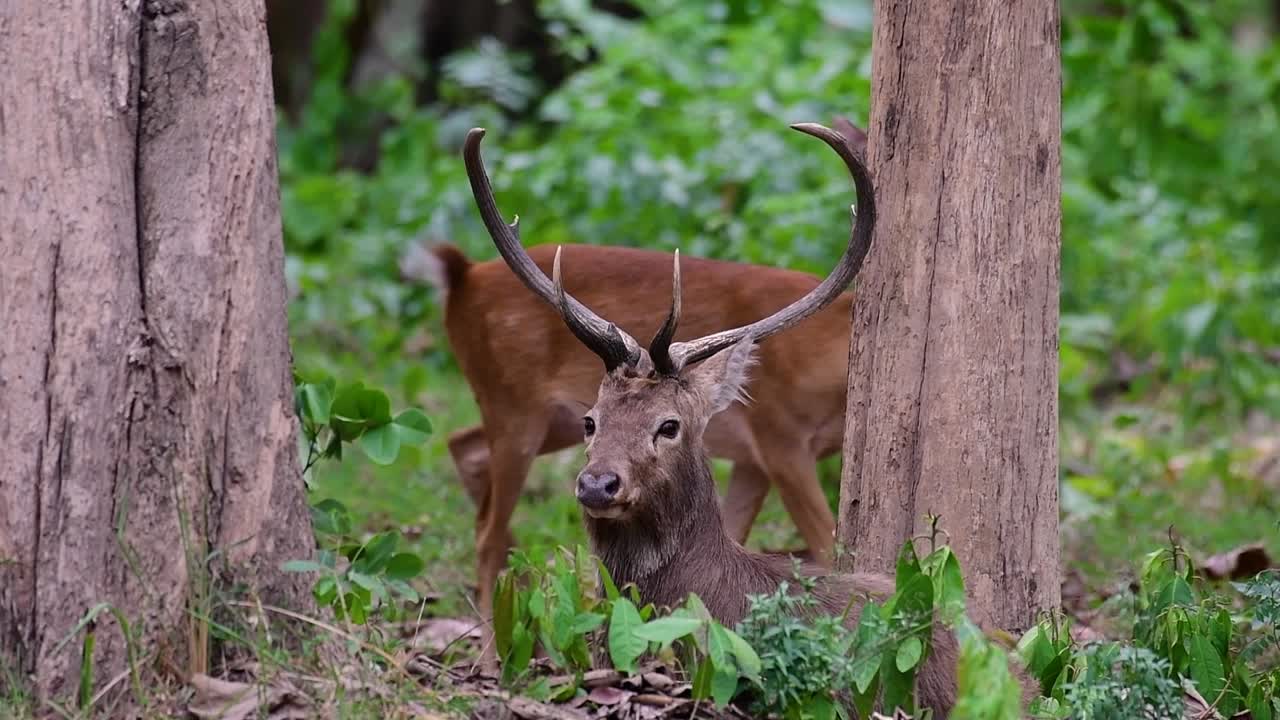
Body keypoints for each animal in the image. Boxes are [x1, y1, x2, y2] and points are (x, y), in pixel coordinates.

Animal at [401, 120, 871, 619]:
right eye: (593, 421)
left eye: (670, 425)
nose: (598, 485)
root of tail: (461, 278)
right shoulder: (778, 435)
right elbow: (827, 546)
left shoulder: (754, 461)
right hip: (515, 403)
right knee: (485, 532)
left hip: (544, 419)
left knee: (464, 450)